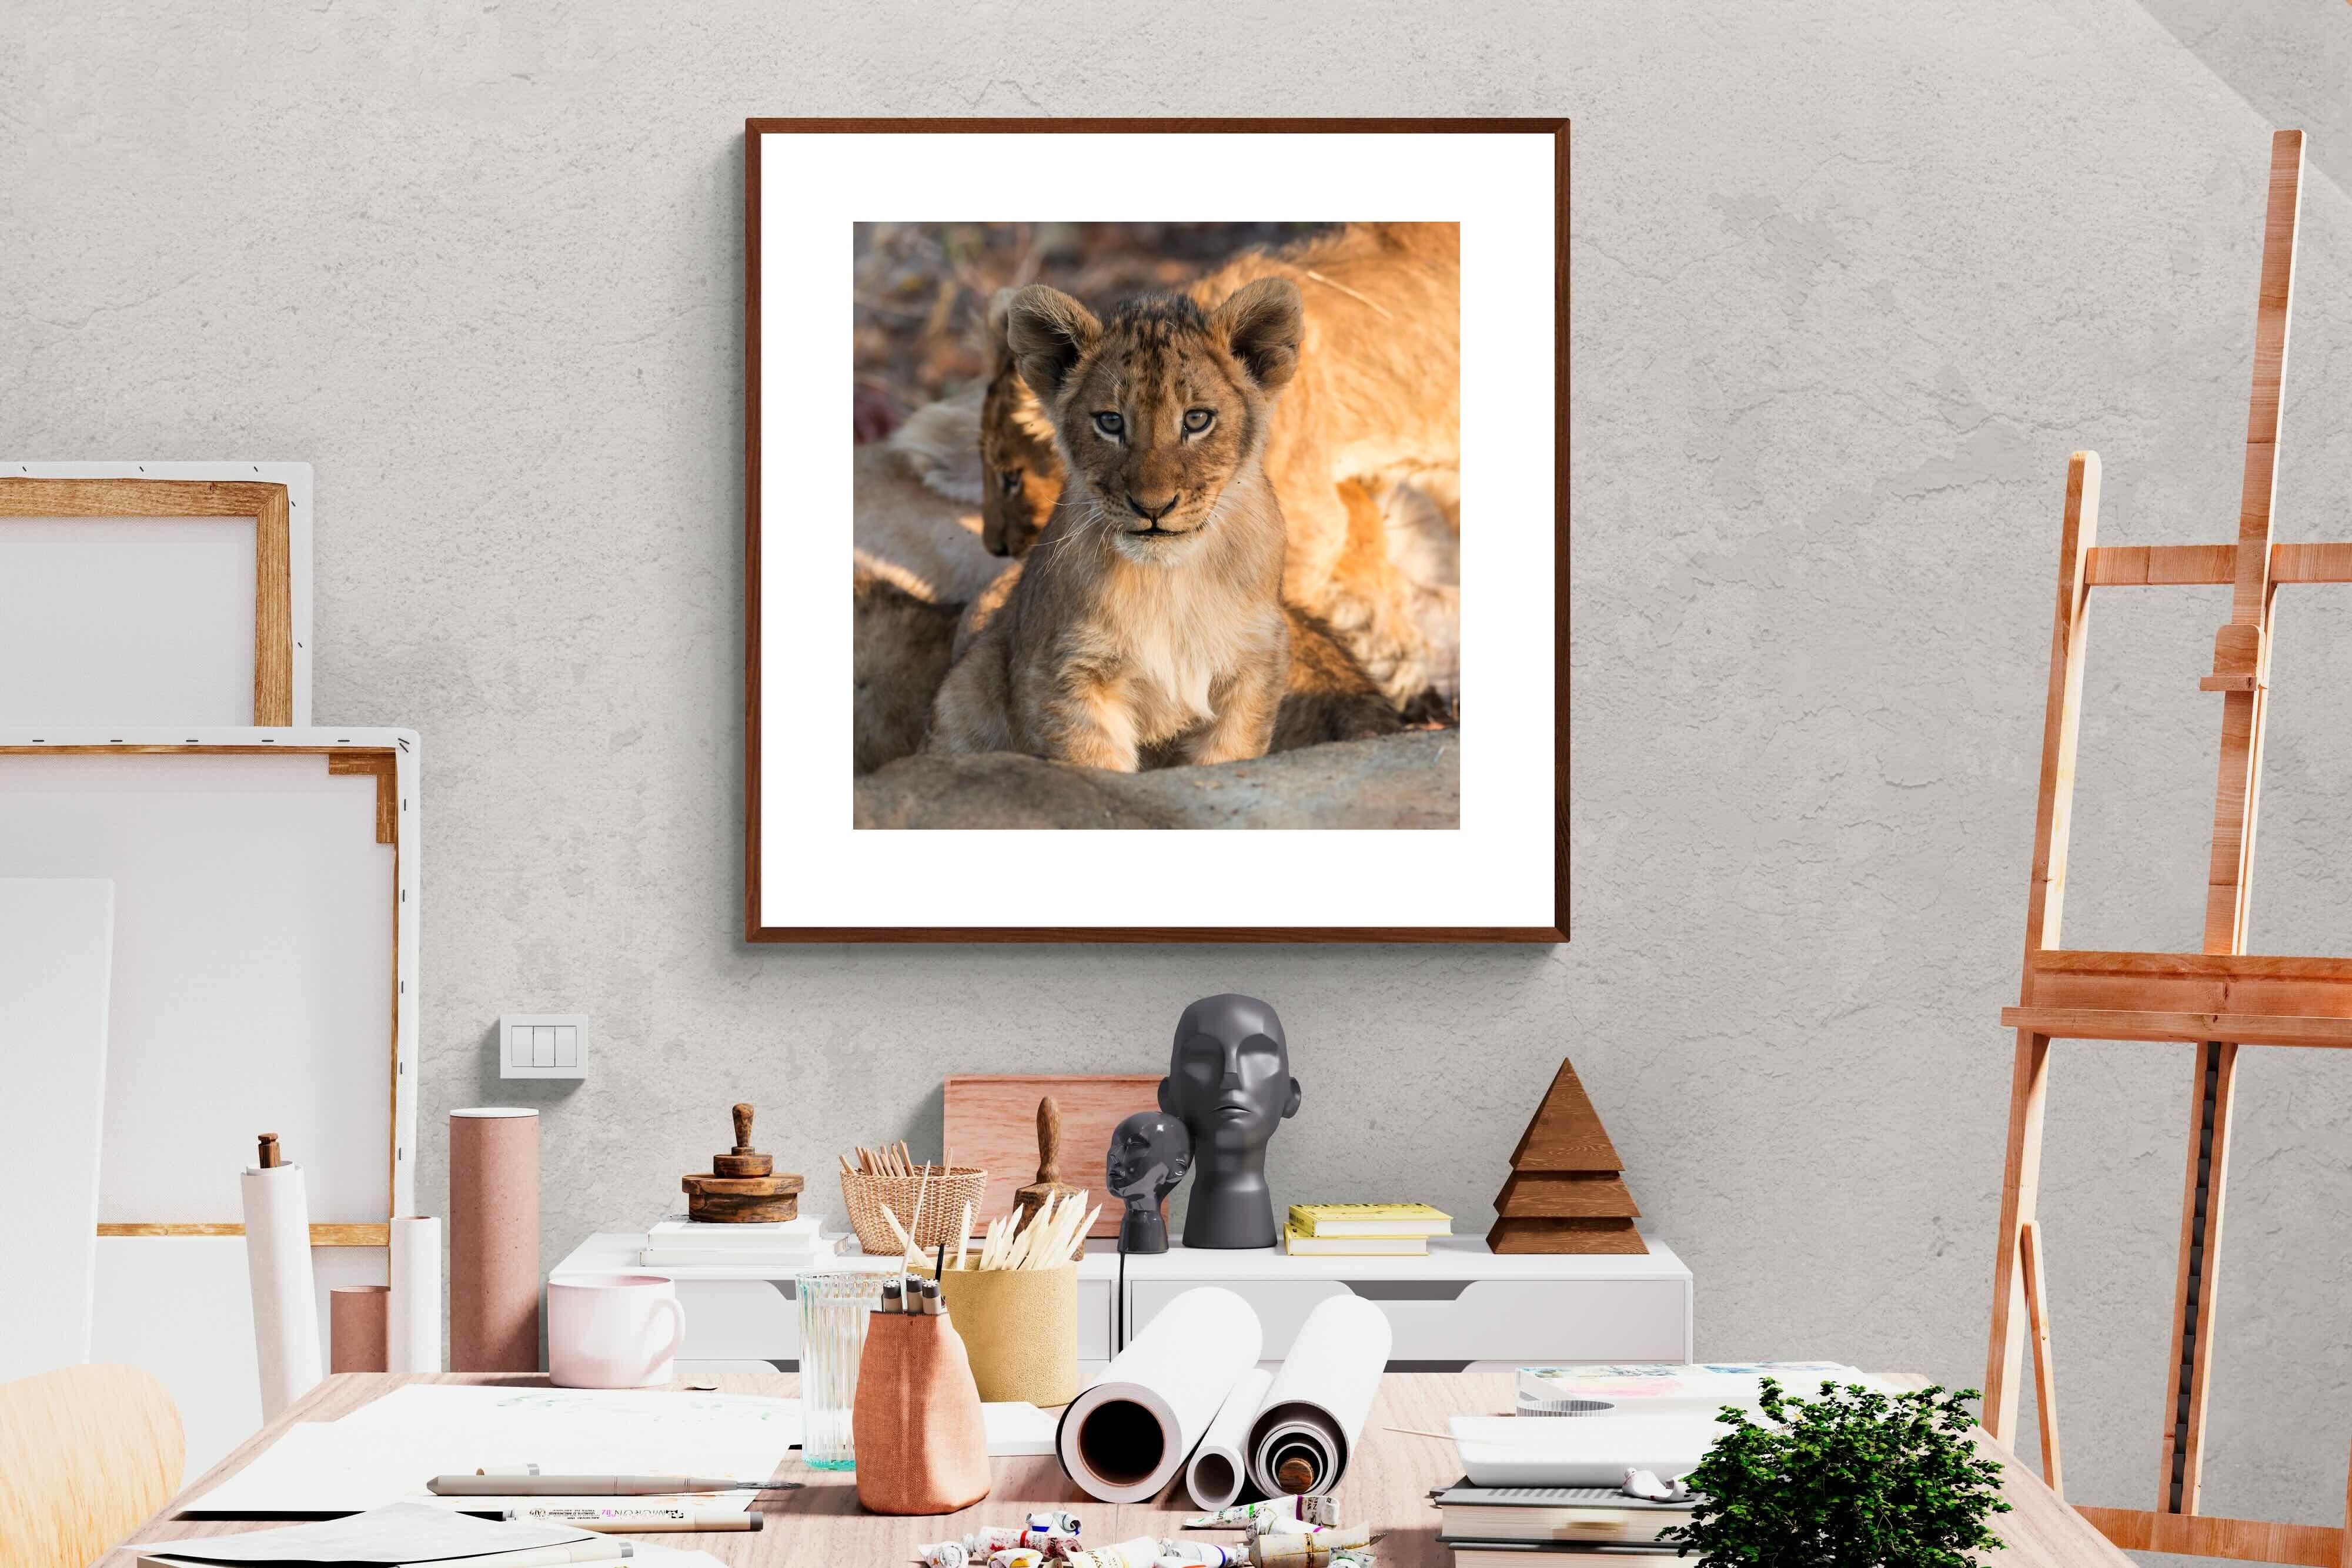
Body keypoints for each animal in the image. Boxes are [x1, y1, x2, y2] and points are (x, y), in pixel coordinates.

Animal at [926, 279, 1305, 771]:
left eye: (1197, 419)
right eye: (1110, 422)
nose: (1153, 507)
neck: (1169, 582)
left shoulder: (1254, 664)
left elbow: (1228, 757)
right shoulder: (1069, 672)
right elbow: (1094, 766)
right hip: (970, 684)